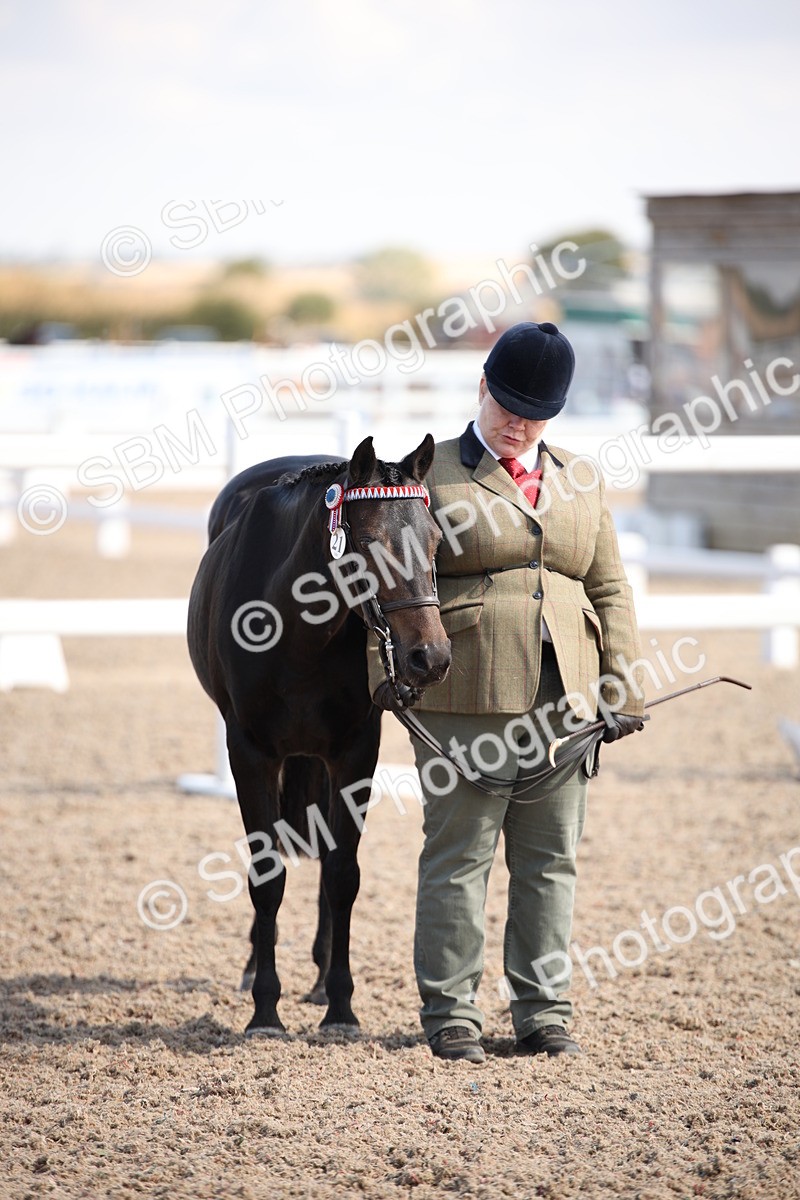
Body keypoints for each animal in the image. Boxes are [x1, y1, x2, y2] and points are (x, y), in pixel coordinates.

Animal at [187, 434, 451, 1035]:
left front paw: (341, 1006)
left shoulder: (355, 752)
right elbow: (267, 876)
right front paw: (265, 1009)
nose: (430, 658)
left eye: (435, 541)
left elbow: (341, 875)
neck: (293, 629)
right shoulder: (250, 753)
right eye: (371, 544)